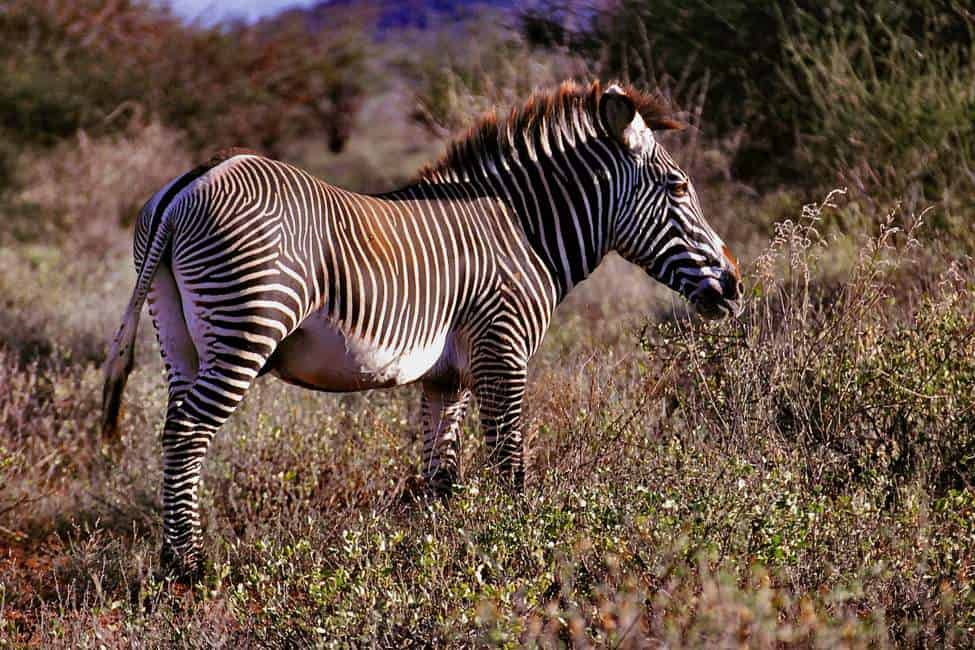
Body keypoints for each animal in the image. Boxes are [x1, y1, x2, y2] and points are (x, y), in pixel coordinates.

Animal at [102, 81, 742, 580]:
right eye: (680, 188)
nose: (735, 288)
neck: (525, 232)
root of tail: (188, 183)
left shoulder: (446, 376)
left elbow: (442, 476)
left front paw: (439, 554)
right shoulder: (502, 351)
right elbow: (509, 464)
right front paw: (524, 546)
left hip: (179, 338)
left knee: (174, 426)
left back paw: (173, 560)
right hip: (246, 326)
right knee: (188, 431)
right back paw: (187, 568)